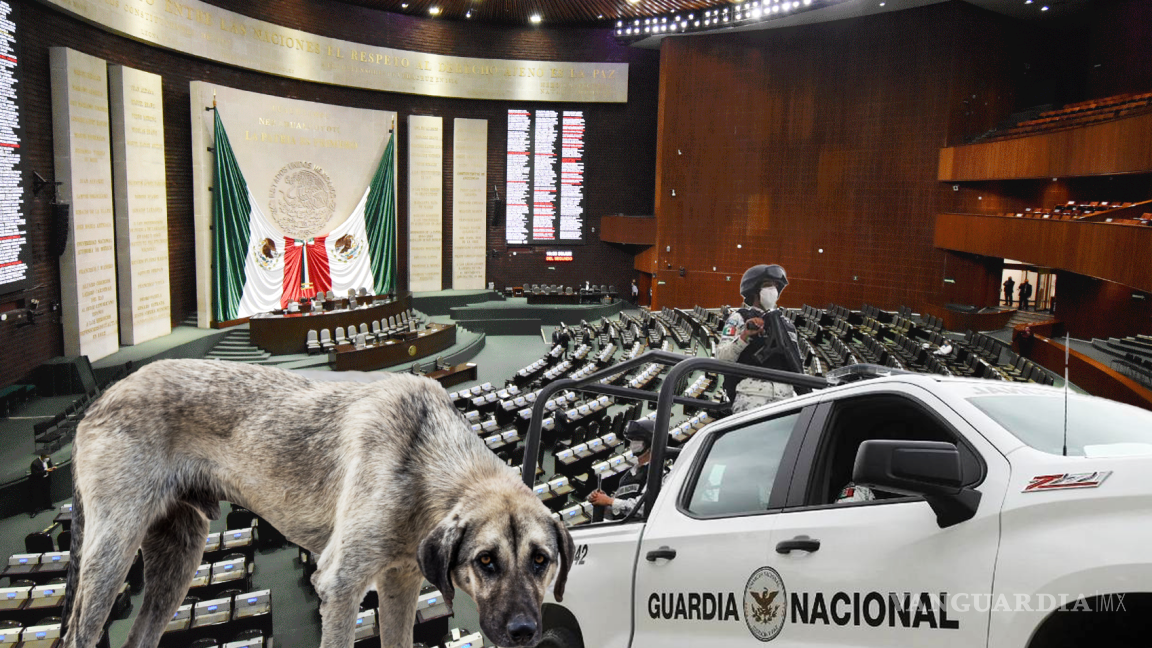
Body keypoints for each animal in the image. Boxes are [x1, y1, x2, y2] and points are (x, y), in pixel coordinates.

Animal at [60, 357, 573, 645]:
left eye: (541, 561)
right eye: (486, 561)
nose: (526, 633)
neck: (424, 455)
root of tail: (100, 399)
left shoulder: (400, 584)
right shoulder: (340, 587)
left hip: (177, 561)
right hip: (112, 557)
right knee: (79, 635)